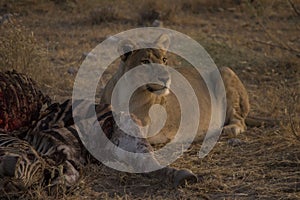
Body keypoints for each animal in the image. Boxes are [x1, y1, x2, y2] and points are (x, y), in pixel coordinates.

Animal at [102, 34, 250, 144]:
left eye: (164, 59)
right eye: (145, 62)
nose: (166, 78)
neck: (126, 91)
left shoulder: (143, 126)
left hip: (225, 71)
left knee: (241, 121)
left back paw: (229, 129)